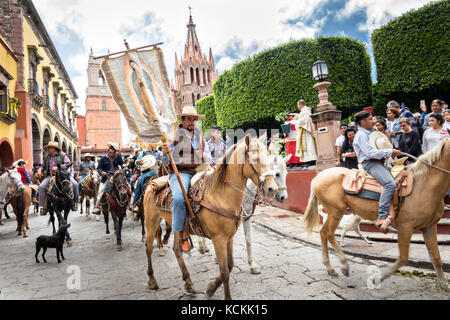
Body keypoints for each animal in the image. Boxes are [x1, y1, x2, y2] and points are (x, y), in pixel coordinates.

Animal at [144, 135, 278, 300]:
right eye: (255, 159)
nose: (272, 189)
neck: (220, 195)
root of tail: (152, 184)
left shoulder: (229, 237)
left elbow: (230, 265)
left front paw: (211, 288)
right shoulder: (218, 239)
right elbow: (225, 271)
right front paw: (223, 295)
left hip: (176, 225)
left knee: (177, 250)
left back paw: (189, 283)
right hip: (151, 222)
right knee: (149, 248)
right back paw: (152, 280)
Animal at [302, 138, 450, 290]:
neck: (423, 186)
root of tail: (318, 177)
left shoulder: (429, 226)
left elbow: (436, 257)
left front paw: (444, 284)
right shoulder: (405, 228)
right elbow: (403, 258)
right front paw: (377, 278)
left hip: (334, 212)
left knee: (323, 232)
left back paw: (330, 268)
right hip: (336, 211)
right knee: (329, 233)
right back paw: (344, 265)